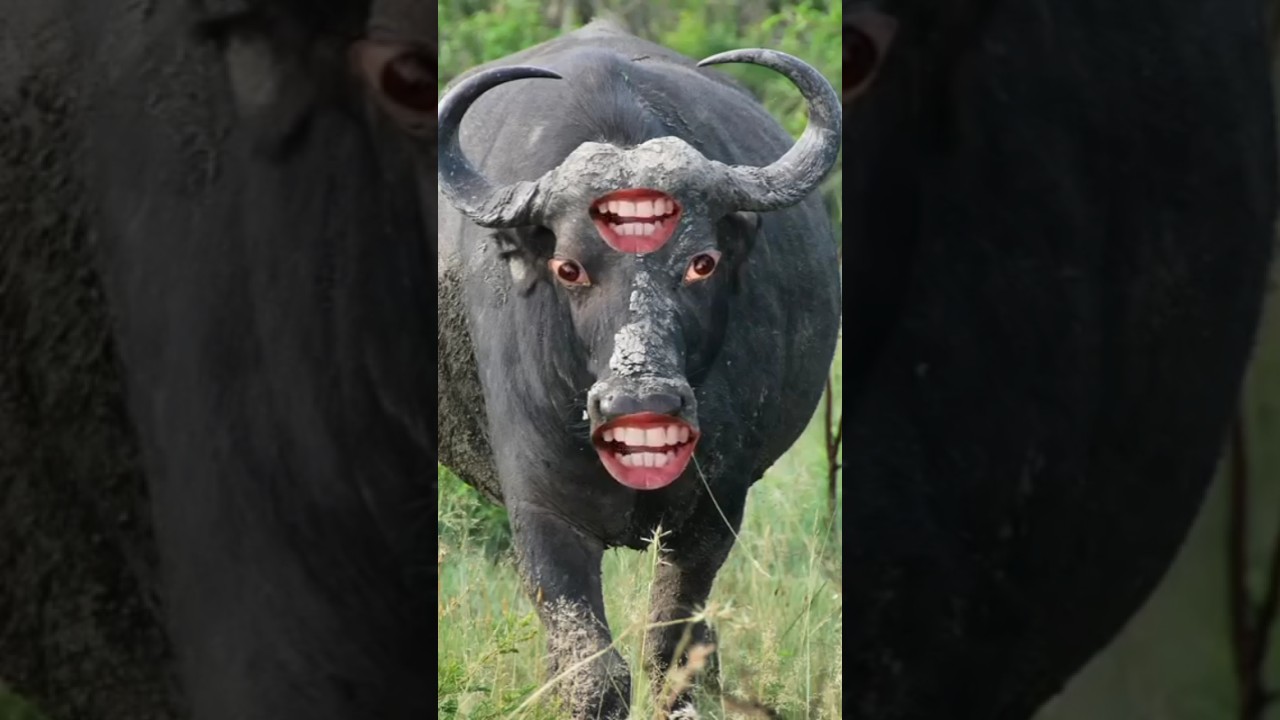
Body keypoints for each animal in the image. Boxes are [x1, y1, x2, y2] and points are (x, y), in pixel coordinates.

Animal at [436, 19, 857, 720]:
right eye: (569, 267)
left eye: (702, 262)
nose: (640, 402)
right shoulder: (539, 510)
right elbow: (592, 668)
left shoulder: (717, 505)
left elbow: (673, 647)